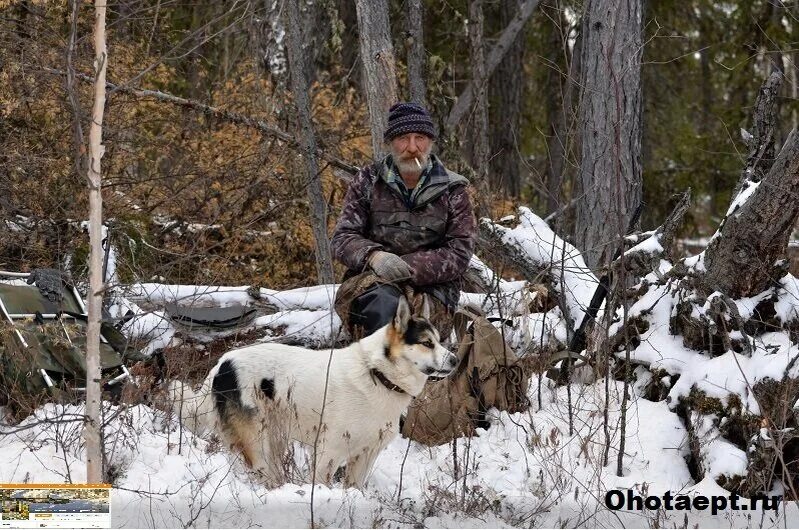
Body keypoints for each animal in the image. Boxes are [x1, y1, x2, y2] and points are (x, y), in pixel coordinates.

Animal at [169, 294, 456, 484]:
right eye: (426, 343)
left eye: (440, 341)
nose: (454, 360)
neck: (378, 373)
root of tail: (222, 364)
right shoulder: (328, 452)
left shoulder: (365, 455)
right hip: (257, 443)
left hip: (275, 438)